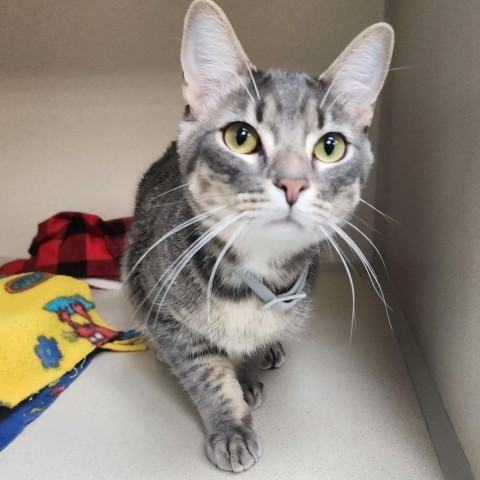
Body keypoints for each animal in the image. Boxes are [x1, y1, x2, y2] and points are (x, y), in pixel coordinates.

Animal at [123, 0, 394, 472]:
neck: (252, 280)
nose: (292, 184)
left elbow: (250, 348)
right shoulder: (165, 311)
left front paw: (248, 373)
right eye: (241, 137)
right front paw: (231, 426)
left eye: (330, 146)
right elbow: (206, 373)